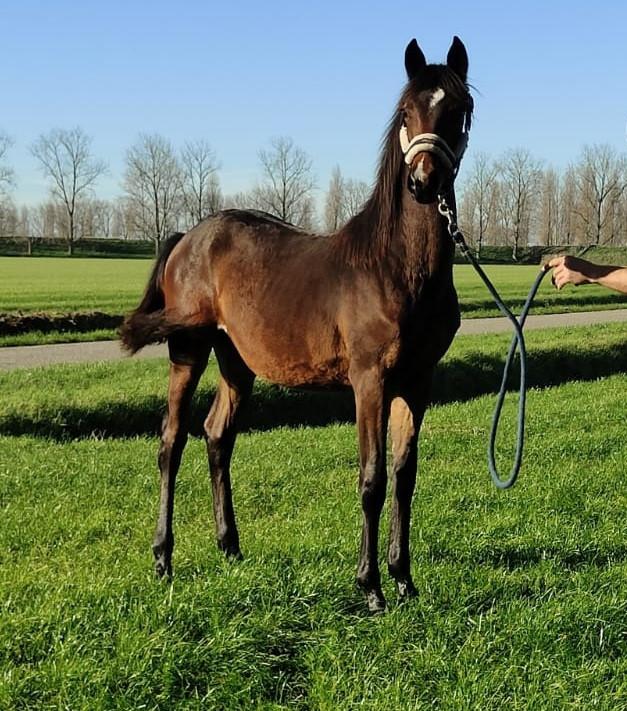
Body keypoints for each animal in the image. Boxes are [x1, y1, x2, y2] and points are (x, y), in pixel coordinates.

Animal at [120, 36, 473, 612]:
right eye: (406, 111)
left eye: (460, 109)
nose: (424, 182)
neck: (397, 267)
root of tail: (187, 238)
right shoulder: (369, 381)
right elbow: (373, 478)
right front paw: (370, 586)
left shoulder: (418, 382)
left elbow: (405, 476)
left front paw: (404, 578)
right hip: (188, 351)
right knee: (170, 442)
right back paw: (162, 558)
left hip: (236, 361)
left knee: (217, 435)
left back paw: (230, 547)